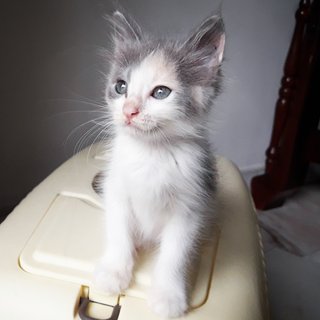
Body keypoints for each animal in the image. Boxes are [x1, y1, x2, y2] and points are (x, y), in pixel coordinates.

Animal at [94, 9, 225, 318]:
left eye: (161, 93)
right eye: (121, 86)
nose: (129, 111)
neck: (150, 153)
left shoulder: (190, 205)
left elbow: (175, 254)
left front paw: (168, 296)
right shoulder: (116, 189)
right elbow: (119, 232)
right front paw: (114, 272)